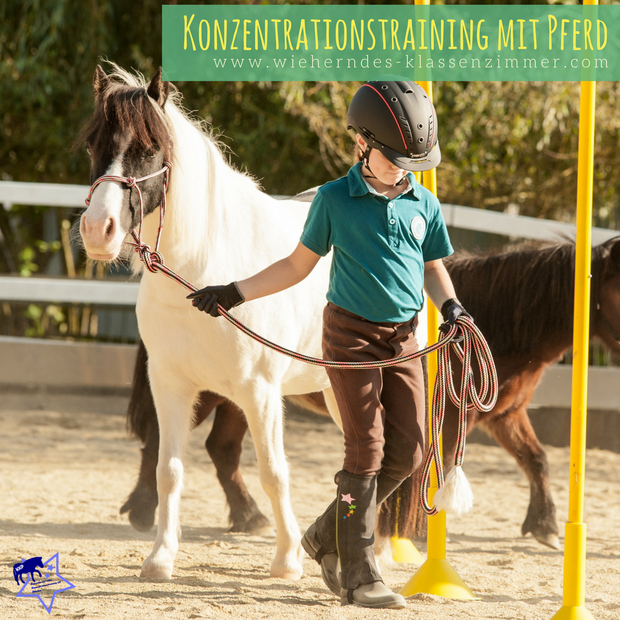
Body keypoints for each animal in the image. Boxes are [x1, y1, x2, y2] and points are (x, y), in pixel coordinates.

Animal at [121, 235, 620, 548]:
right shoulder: (448, 418)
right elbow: (428, 475)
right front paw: (410, 534)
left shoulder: (504, 415)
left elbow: (536, 460)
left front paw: (545, 525)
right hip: (207, 390)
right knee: (159, 443)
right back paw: (143, 511)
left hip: (237, 397)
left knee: (221, 450)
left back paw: (250, 518)